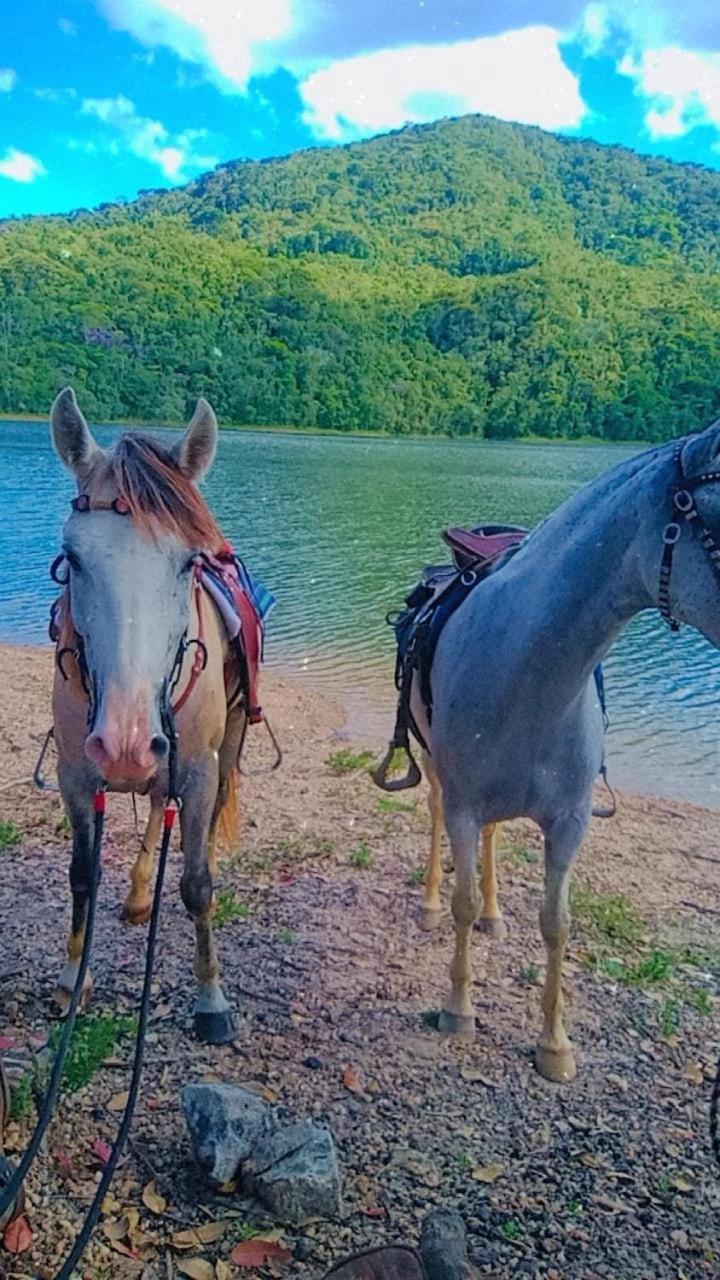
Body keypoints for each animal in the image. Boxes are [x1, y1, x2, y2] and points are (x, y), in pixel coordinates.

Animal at [50, 386, 244, 1039]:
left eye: (189, 562)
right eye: (72, 558)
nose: (126, 743)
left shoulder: (199, 769)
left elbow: (196, 883)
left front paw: (211, 998)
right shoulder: (75, 774)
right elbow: (82, 875)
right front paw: (72, 980)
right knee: (157, 801)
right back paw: (138, 896)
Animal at [415, 419, 720, 1080]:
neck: (530, 668)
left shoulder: (570, 820)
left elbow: (557, 923)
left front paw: (555, 1046)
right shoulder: (463, 803)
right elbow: (460, 898)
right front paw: (457, 1010)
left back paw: (496, 915)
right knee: (433, 816)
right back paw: (428, 905)